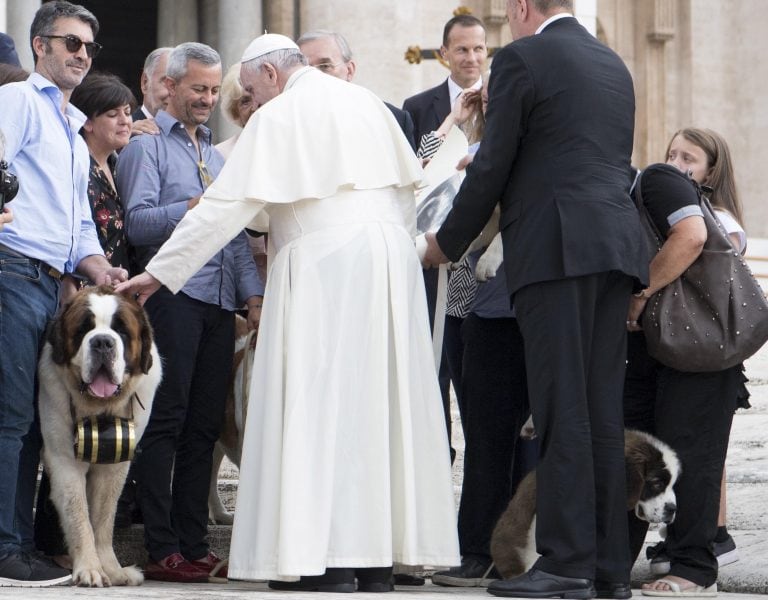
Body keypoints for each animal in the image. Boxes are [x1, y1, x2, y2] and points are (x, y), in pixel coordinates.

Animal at [38, 286, 161, 584]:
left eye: (122, 331)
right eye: (84, 329)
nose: (103, 342)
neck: (98, 409)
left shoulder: (114, 464)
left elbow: (104, 517)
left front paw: (112, 570)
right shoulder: (65, 460)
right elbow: (78, 514)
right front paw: (90, 569)